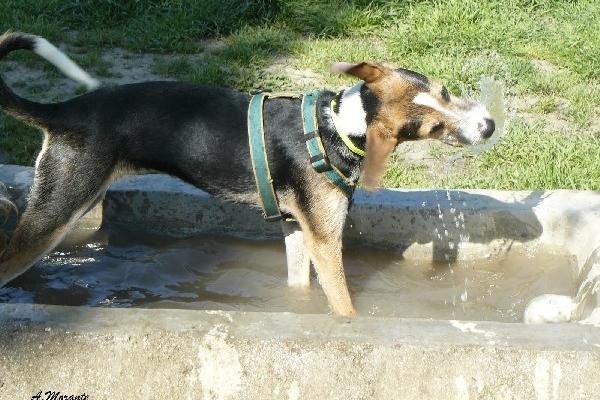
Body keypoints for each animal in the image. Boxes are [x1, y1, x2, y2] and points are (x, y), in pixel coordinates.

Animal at [1, 32, 496, 316]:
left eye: (444, 92)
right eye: (432, 127)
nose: (489, 126)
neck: (337, 126)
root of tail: (64, 111)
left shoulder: (298, 231)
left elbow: (300, 292)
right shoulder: (325, 241)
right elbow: (345, 307)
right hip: (55, 212)